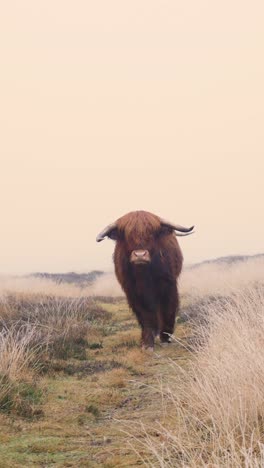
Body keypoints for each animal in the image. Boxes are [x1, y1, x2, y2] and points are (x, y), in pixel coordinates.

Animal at [96, 210, 193, 350]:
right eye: (127, 235)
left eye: (151, 233)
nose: (140, 255)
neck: (144, 274)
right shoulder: (133, 292)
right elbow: (146, 314)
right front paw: (147, 342)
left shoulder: (168, 285)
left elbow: (168, 308)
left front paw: (166, 336)